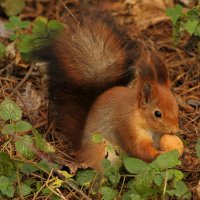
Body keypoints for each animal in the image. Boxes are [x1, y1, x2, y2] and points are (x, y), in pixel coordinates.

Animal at [34, 12, 178, 170]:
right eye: (157, 114)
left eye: (176, 107)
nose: (175, 131)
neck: (139, 117)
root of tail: (82, 151)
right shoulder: (127, 127)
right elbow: (139, 150)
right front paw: (163, 154)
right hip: (103, 152)